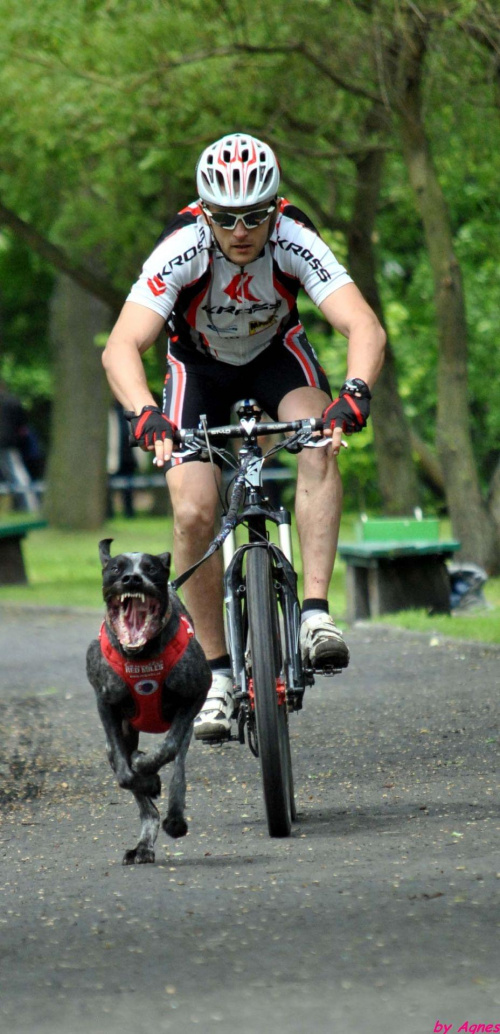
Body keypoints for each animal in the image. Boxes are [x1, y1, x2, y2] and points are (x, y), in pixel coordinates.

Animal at [85, 541, 210, 864]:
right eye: (115, 567)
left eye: (151, 568)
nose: (132, 579)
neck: (141, 656)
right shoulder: (105, 704)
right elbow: (125, 773)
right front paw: (146, 778)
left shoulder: (195, 695)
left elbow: (166, 749)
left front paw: (146, 764)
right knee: (142, 801)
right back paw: (143, 844)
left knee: (177, 766)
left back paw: (174, 818)